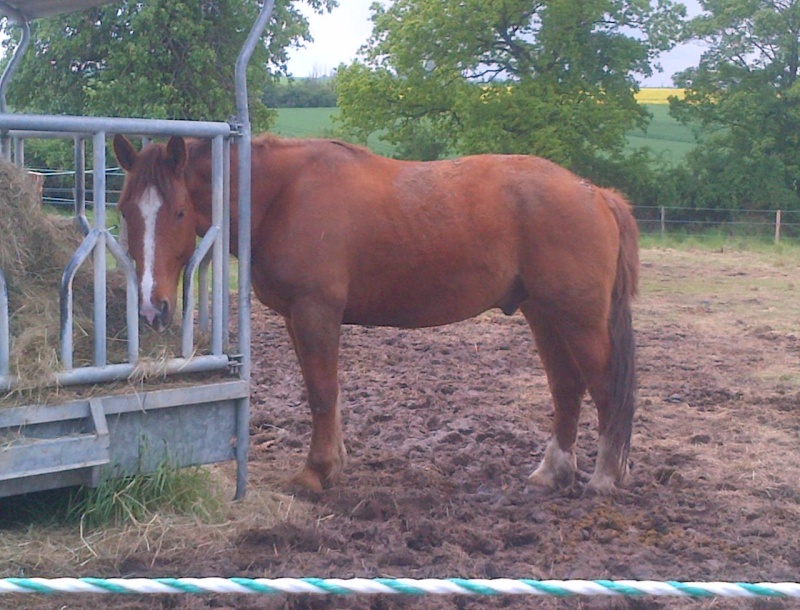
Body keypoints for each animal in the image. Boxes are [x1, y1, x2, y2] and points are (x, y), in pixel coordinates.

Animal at [112, 133, 636, 494]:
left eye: (179, 212)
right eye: (124, 210)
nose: (152, 306)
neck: (283, 195)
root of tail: (596, 193)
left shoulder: (315, 312)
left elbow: (322, 393)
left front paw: (315, 473)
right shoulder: (296, 318)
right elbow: (324, 394)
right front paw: (334, 464)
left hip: (579, 320)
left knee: (605, 388)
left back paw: (606, 478)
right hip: (543, 315)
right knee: (566, 387)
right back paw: (552, 472)